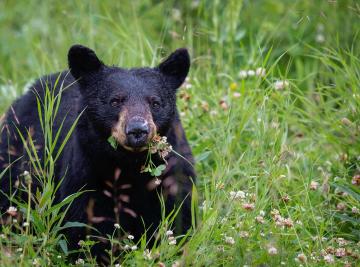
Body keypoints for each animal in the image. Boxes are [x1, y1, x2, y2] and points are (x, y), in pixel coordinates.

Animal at [0, 45, 195, 262]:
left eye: (155, 103)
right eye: (115, 101)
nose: (137, 130)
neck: (130, 165)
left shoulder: (173, 173)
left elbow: (178, 214)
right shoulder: (86, 173)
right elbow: (88, 224)